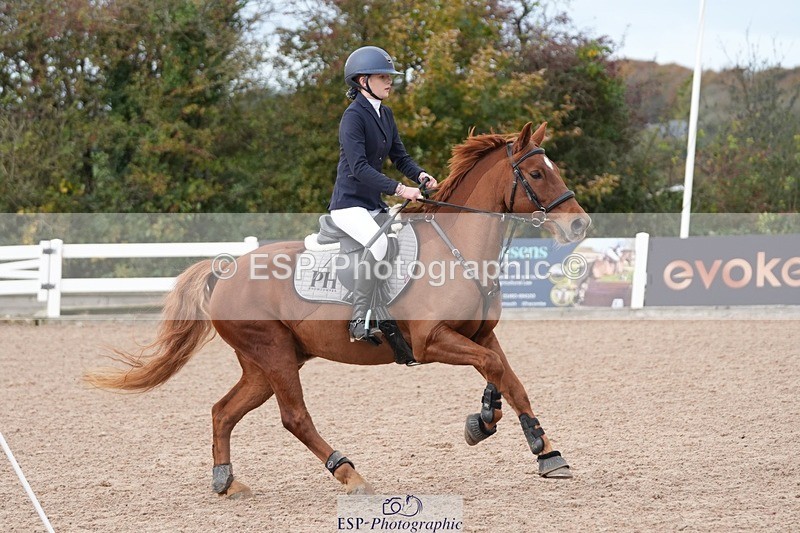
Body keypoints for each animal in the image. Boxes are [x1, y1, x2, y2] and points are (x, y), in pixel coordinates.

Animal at [85, 122, 591, 498]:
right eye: (538, 174)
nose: (580, 225)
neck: (458, 248)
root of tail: (225, 270)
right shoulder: (431, 342)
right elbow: (495, 369)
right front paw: (501, 431)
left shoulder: (481, 334)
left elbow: (507, 378)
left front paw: (534, 446)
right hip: (273, 355)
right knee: (293, 417)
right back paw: (349, 473)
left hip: (264, 364)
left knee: (223, 411)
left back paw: (226, 482)